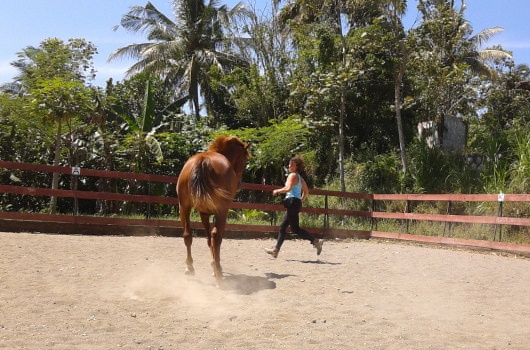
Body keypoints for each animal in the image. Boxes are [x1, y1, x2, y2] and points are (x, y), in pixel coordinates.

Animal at [175, 135, 250, 284]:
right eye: (244, 161)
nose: (239, 184)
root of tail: (203, 160)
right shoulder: (219, 213)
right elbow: (215, 239)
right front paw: (216, 266)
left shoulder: (203, 213)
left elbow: (208, 239)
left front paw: (212, 264)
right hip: (222, 211)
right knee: (217, 236)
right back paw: (218, 275)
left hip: (184, 207)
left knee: (187, 235)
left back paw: (190, 267)